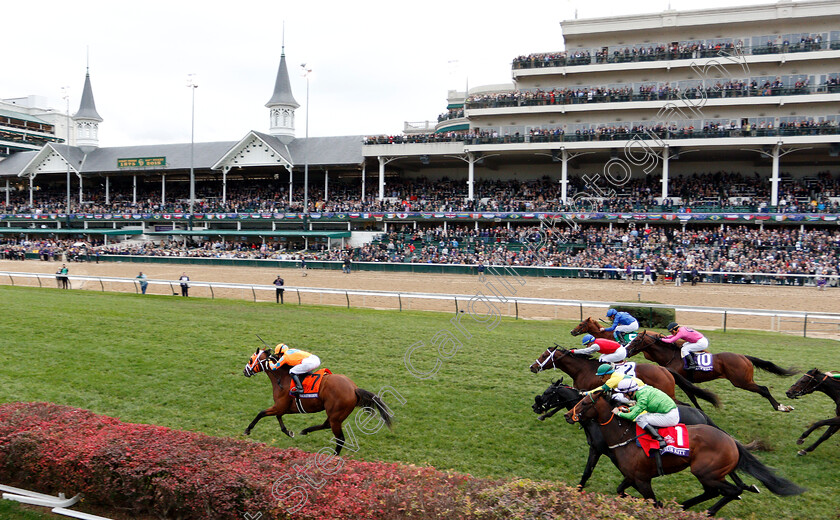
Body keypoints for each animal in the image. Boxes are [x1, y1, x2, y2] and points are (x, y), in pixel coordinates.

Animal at [240, 350, 390, 456]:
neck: (283, 378)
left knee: (340, 438)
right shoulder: (283, 407)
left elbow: (261, 413)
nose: (245, 371)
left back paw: (333, 456)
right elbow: (278, 417)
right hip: (335, 414)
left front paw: (247, 430)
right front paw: (289, 432)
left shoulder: (279, 406)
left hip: (336, 415)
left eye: (251, 359)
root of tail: (354, 389)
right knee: (326, 425)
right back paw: (305, 430)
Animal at [536, 378, 724, 492]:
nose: (535, 407)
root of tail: (702, 415)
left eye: (547, 393)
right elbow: (589, 472)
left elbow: (594, 472)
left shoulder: (605, 451)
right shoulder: (602, 450)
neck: (597, 420)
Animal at [564, 392, 808, 512]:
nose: (568, 415)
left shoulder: (642, 480)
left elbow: (652, 501)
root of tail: (730, 440)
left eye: (584, 403)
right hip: (709, 473)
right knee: (714, 491)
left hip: (706, 471)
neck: (625, 436)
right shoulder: (633, 476)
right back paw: (686, 506)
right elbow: (621, 490)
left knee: (729, 490)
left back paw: (708, 511)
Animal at [628, 332, 796, 412]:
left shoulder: (682, 381)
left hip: (742, 381)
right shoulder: (685, 382)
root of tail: (744, 357)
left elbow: (692, 396)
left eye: (635, 340)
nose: (627, 350)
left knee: (764, 389)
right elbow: (693, 397)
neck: (671, 356)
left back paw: (780, 407)